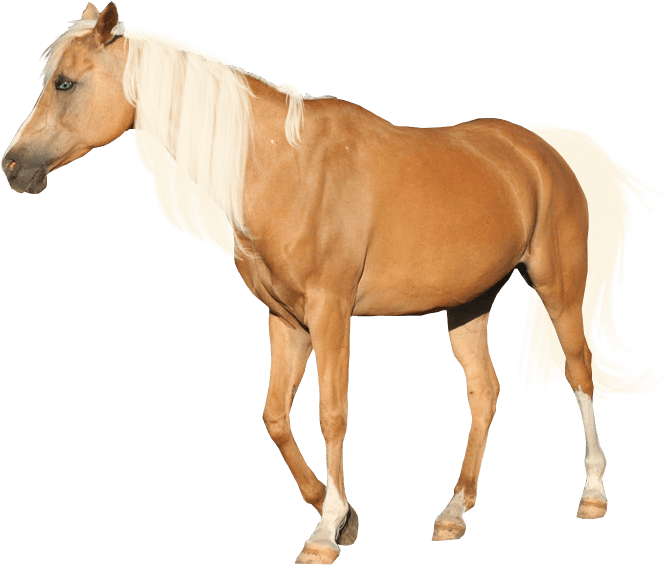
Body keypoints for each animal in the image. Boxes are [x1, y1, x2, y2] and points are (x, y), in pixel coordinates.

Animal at [3, 3, 663, 563]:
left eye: (65, 83)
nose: (13, 166)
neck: (286, 166)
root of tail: (538, 149)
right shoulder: (285, 318)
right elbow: (274, 415)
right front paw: (340, 516)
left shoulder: (330, 311)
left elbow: (331, 412)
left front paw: (325, 532)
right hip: (469, 303)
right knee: (484, 392)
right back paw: (454, 512)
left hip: (558, 286)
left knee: (579, 373)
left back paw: (593, 496)